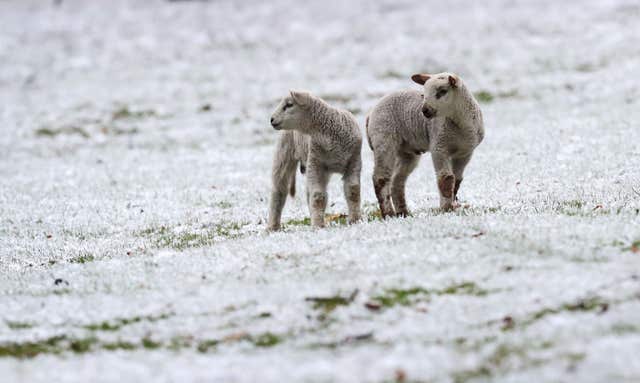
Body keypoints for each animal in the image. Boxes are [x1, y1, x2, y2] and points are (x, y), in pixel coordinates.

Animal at [266, 91, 364, 231]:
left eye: (289, 105)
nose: (271, 120)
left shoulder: (354, 161)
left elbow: (353, 190)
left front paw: (355, 220)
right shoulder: (316, 162)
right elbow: (318, 196)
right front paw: (318, 226)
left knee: (308, 193)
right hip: (285, 154)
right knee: (278, 191)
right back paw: (273, 227)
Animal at [364, 71, 484, 216]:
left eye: (442, 91)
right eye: (423, 94)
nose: (425, 110)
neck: (461, 125)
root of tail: (370, 114)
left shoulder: (465, 152)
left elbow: (457, 180)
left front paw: (453, 205)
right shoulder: (439, 145)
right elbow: (446, 179)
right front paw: (446, 209)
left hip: (406, 152)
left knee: (397, 180)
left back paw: (403, 213)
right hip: (383, 138)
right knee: (381, 178)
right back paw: (388, 213)